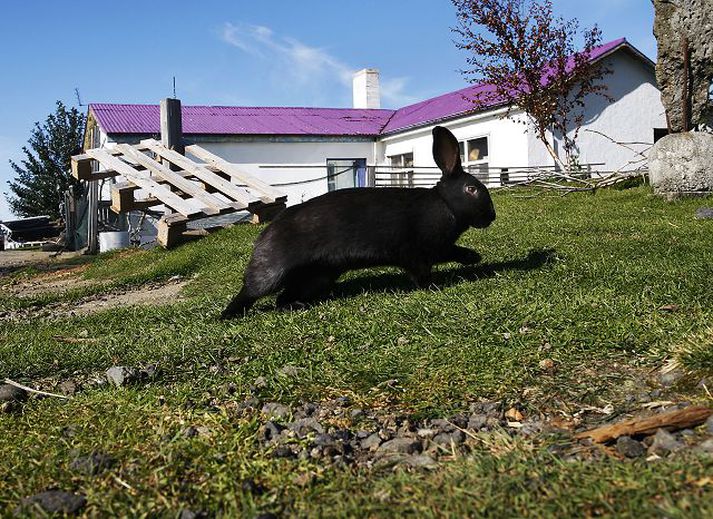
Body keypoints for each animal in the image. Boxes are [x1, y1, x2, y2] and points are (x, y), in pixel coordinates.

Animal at [220, 128, 492, 318]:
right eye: (472, 189)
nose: (492, 216)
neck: (445, 204)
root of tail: (264, 236)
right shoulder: (419, 253)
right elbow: (425, 273)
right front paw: (438, 284)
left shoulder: (436, 249)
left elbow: (453, 252)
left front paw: (473, 258)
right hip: (275, 273)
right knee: (251, 292)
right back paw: (227, 316)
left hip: (318, 276)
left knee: (283, 299)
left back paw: (297, 306)